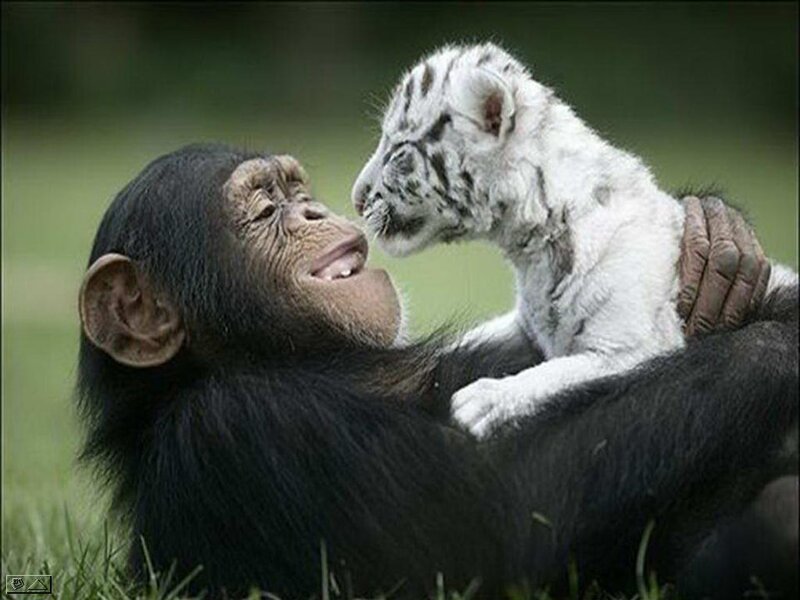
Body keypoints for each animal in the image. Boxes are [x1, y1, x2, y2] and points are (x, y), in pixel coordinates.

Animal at [351, 42, 795, 438]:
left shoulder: (632, 346)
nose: (356, 199)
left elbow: (562, 373)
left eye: (398, 150)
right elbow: (469, 341)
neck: (531, 246)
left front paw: (482, 400)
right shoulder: (524, 326)